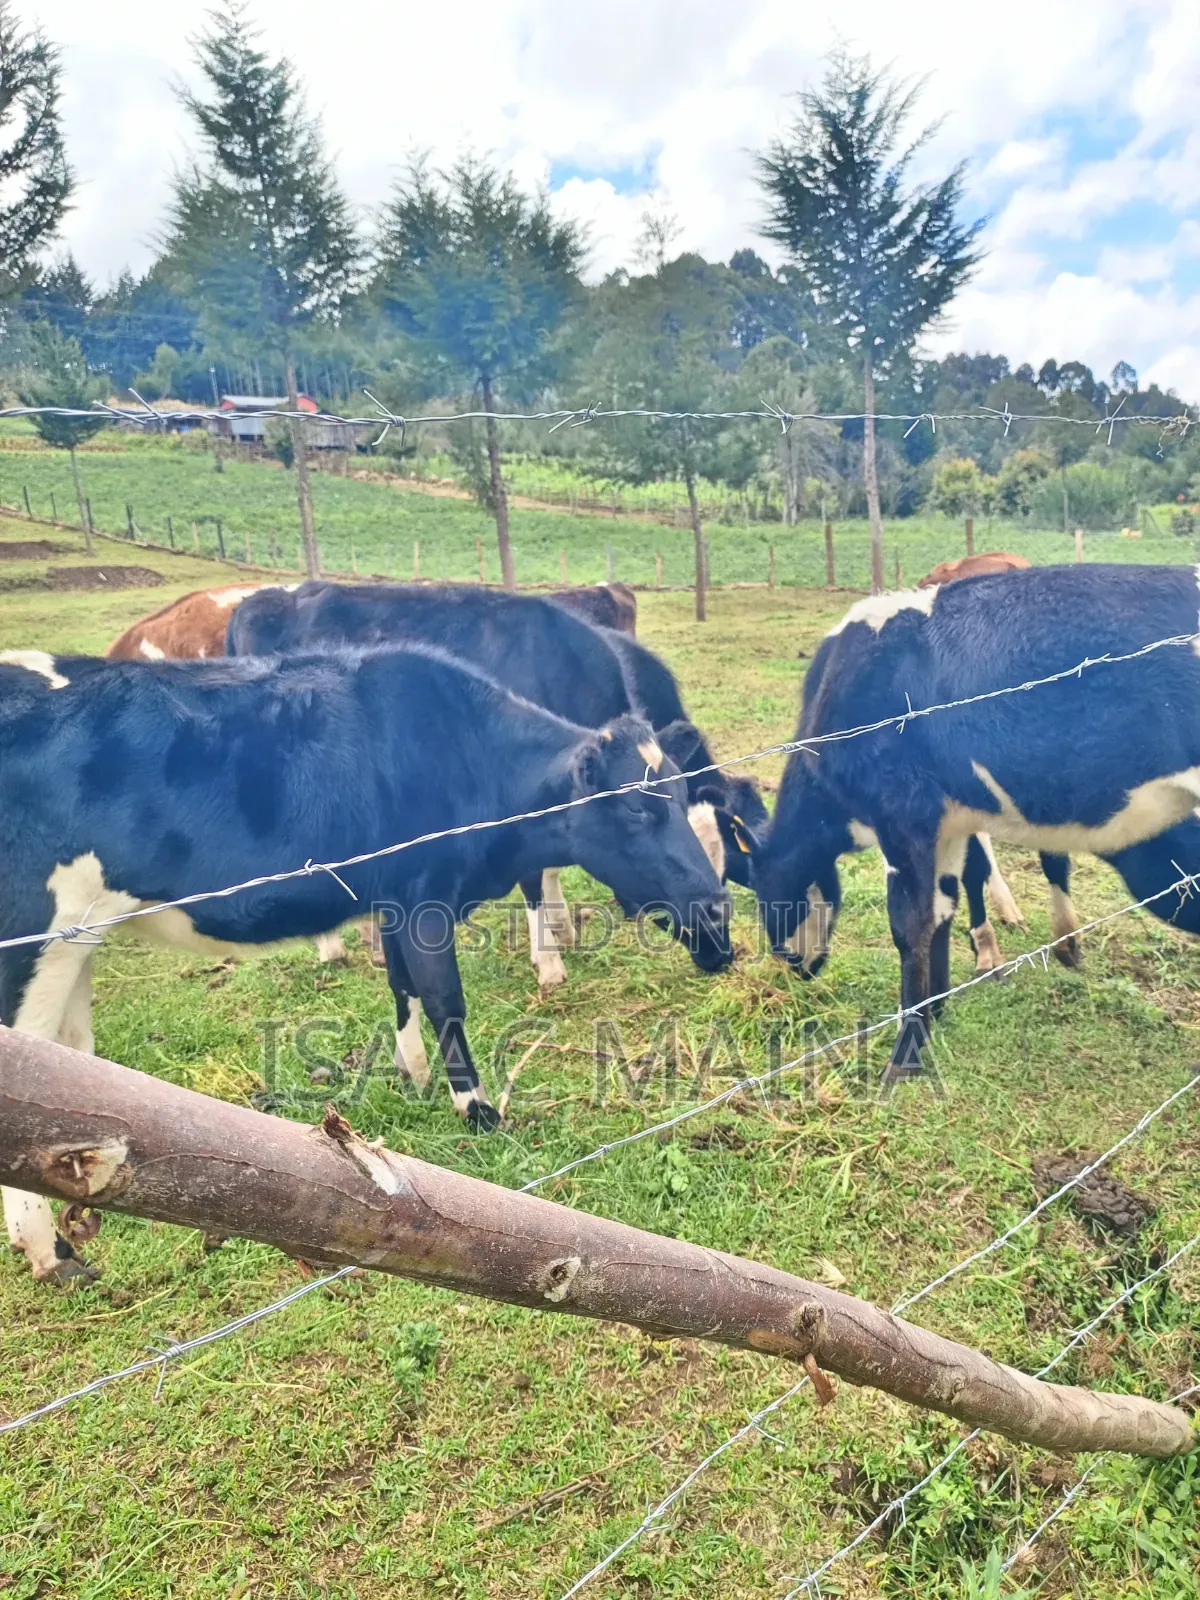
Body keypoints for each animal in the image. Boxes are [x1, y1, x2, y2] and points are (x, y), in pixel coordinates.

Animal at [0, 644, 731, 1281]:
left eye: (678, 794)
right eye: (635, 808)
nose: (717, 909)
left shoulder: (393, 899)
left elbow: (403, 986)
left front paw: (411, 1073)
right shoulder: (425, 892)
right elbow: (445, 998)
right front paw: (478, 1110)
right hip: (37, 941)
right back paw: (50, 1252)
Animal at [226, 581, 764, 988]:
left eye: (720, 858)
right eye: (642, 817)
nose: (722, 954)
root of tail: (266, 598)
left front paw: (562, 928)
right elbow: (534, 877)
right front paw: (549, 960)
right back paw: (333, 948)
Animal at [743, 565, 1200, 1074]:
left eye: (765, 895)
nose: (792, 970)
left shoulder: (902, 816)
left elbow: (909, 924)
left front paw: (905, 1053)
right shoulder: (948, 825)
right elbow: (944, 907)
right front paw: (935, 1013)